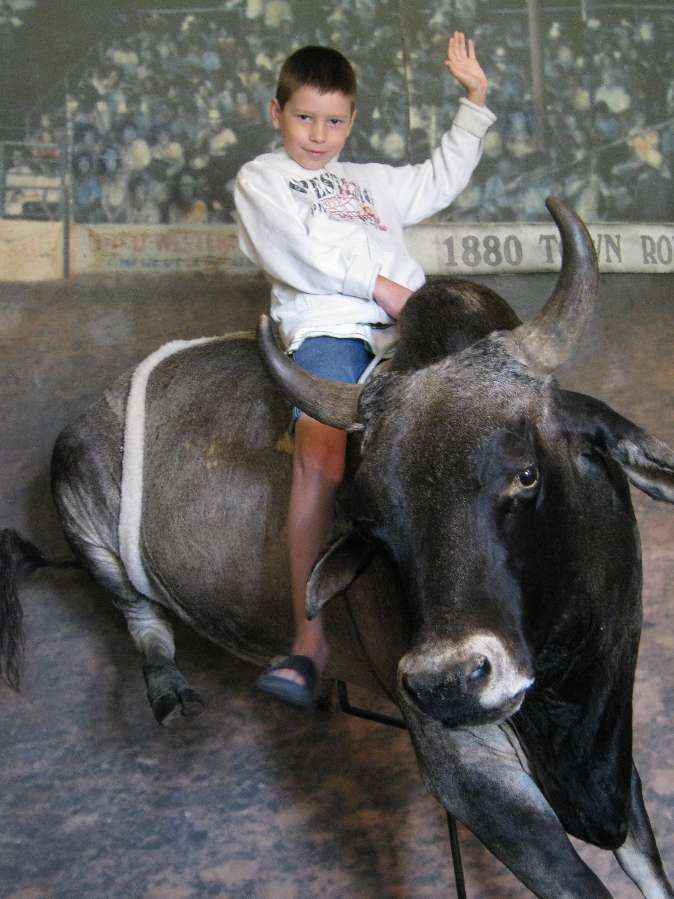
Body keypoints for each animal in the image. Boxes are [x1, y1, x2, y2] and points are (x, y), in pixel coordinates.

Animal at [1, 198, 672, 898]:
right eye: (374, 526)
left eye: (526, 474)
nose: (447, 682)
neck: (570, 699)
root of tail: (87, 413)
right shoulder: (472, 771)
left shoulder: (617, 757)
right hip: (93, 533)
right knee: (141, 620)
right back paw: (173, 692)